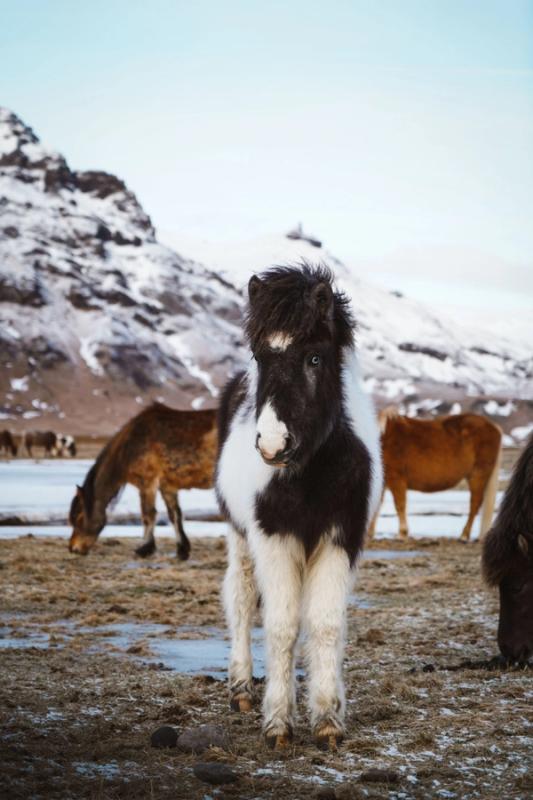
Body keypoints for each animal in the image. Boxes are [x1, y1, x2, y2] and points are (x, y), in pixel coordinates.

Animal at [68, 403, 217, 557]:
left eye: (79, 517)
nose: (73, 548)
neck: (130, 447)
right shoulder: (167, 486)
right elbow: (174, 515)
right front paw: (182, 549)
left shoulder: (147, 483)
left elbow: (148, 514)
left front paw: (145, 548)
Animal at [216, 264, 382, 751]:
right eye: (259, 357)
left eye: (314, 359)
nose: (272, 445)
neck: (312, 474)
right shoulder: (274, 538)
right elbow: (282, 626)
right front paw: (278, 723)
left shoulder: (339, 539)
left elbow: (325, 625)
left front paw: (327, 720)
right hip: (239, 536)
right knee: (241, 597)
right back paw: (241, 690)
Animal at [369, 408, 501, 541]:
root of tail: (494, 427)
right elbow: (376, 505)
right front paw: (369, 533)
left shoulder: (396, 479)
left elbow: (399, 505)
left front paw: (402, 534)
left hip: (477, 475)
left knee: (474, 504)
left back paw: (464, 536)